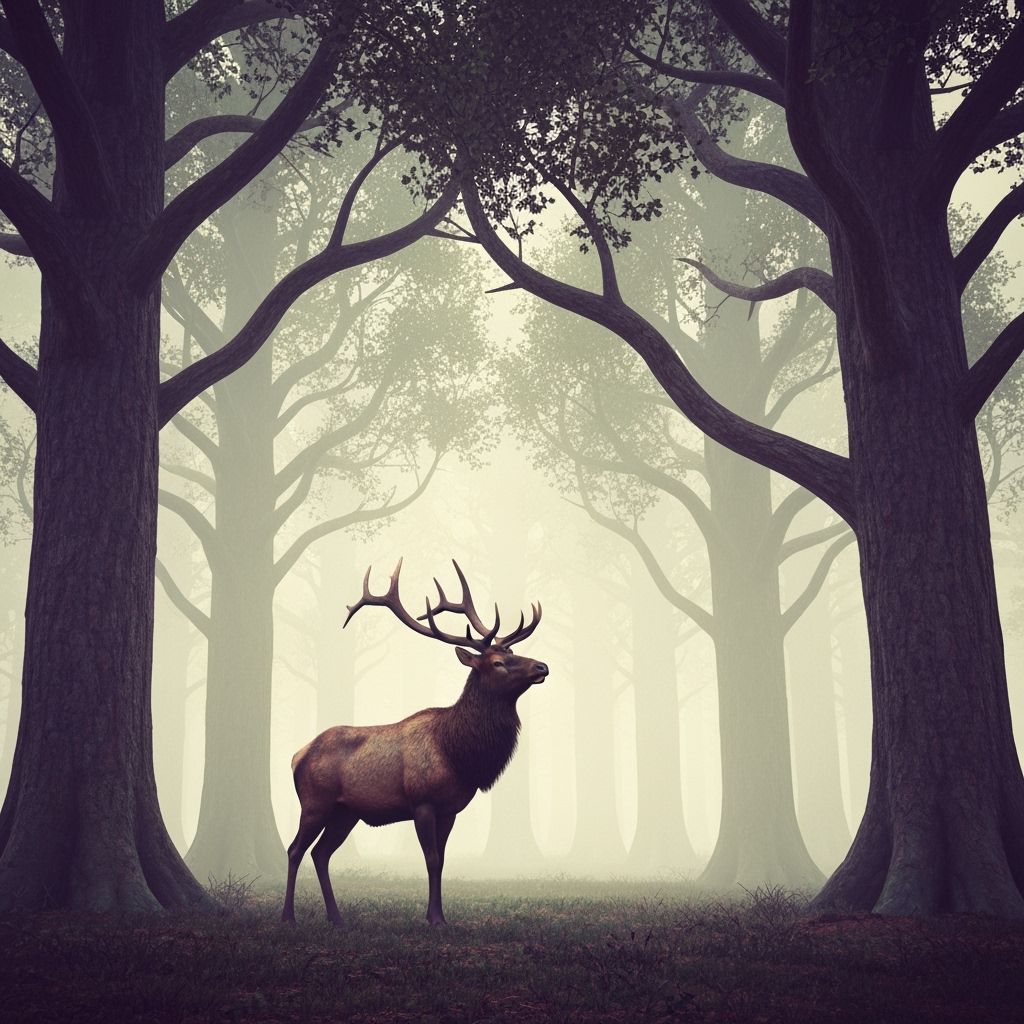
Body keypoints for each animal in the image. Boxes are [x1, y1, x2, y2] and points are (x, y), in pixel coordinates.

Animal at [281, 558, 547, 926]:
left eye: (514, 652)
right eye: (497, 662)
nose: (542, 666)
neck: (457, 754)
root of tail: (296, 755)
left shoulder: (450, 809)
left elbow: (442, 861)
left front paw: (439, 915)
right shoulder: (422, 801)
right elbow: (431, 858)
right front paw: (434, 918)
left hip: (346, 811)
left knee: (321, 853)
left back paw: (336, 917)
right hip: (314, 801)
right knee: (295, 849)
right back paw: (288, 917)